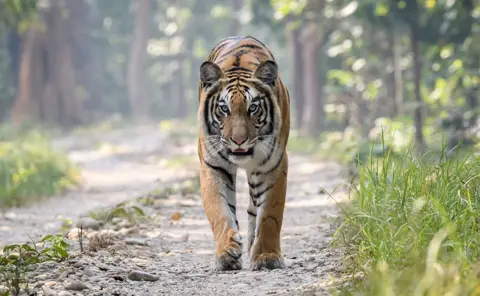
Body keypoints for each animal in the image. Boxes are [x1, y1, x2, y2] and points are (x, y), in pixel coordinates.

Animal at [197, 35, 290, 270]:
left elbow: (270, 215)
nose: (238, 141)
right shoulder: (213, 166)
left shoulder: (273, 166)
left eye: (253, 108)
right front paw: (226, 253)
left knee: (254, 209)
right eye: (224, 109)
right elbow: (219, 211)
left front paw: (267, 256)